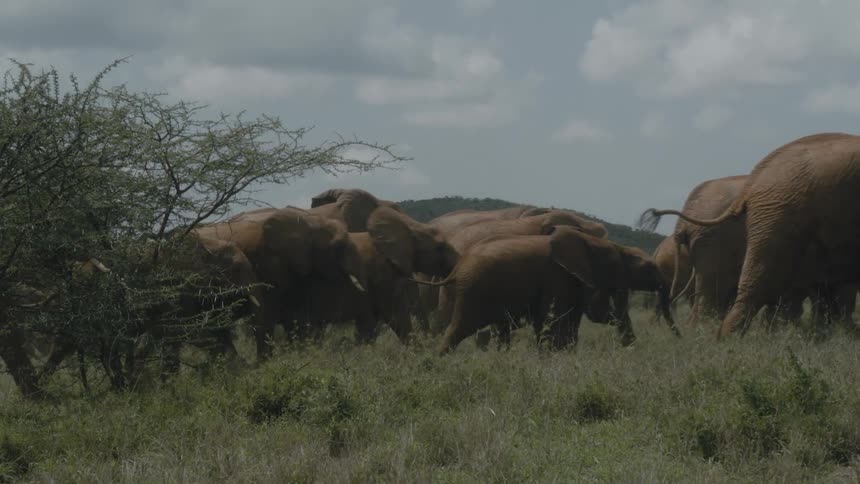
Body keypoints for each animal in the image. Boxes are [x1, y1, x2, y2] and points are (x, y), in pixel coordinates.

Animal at [421, 226, 678, 354]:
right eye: (648, 267)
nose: (631, 346)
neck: (591, 242)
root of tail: (460, 264)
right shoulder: (557, 276)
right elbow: (555, 318)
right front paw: (552, 356)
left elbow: (576, 317)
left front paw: (566, 355)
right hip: (473, 291)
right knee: (459, 328)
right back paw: (438, 361)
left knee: (499, 330)